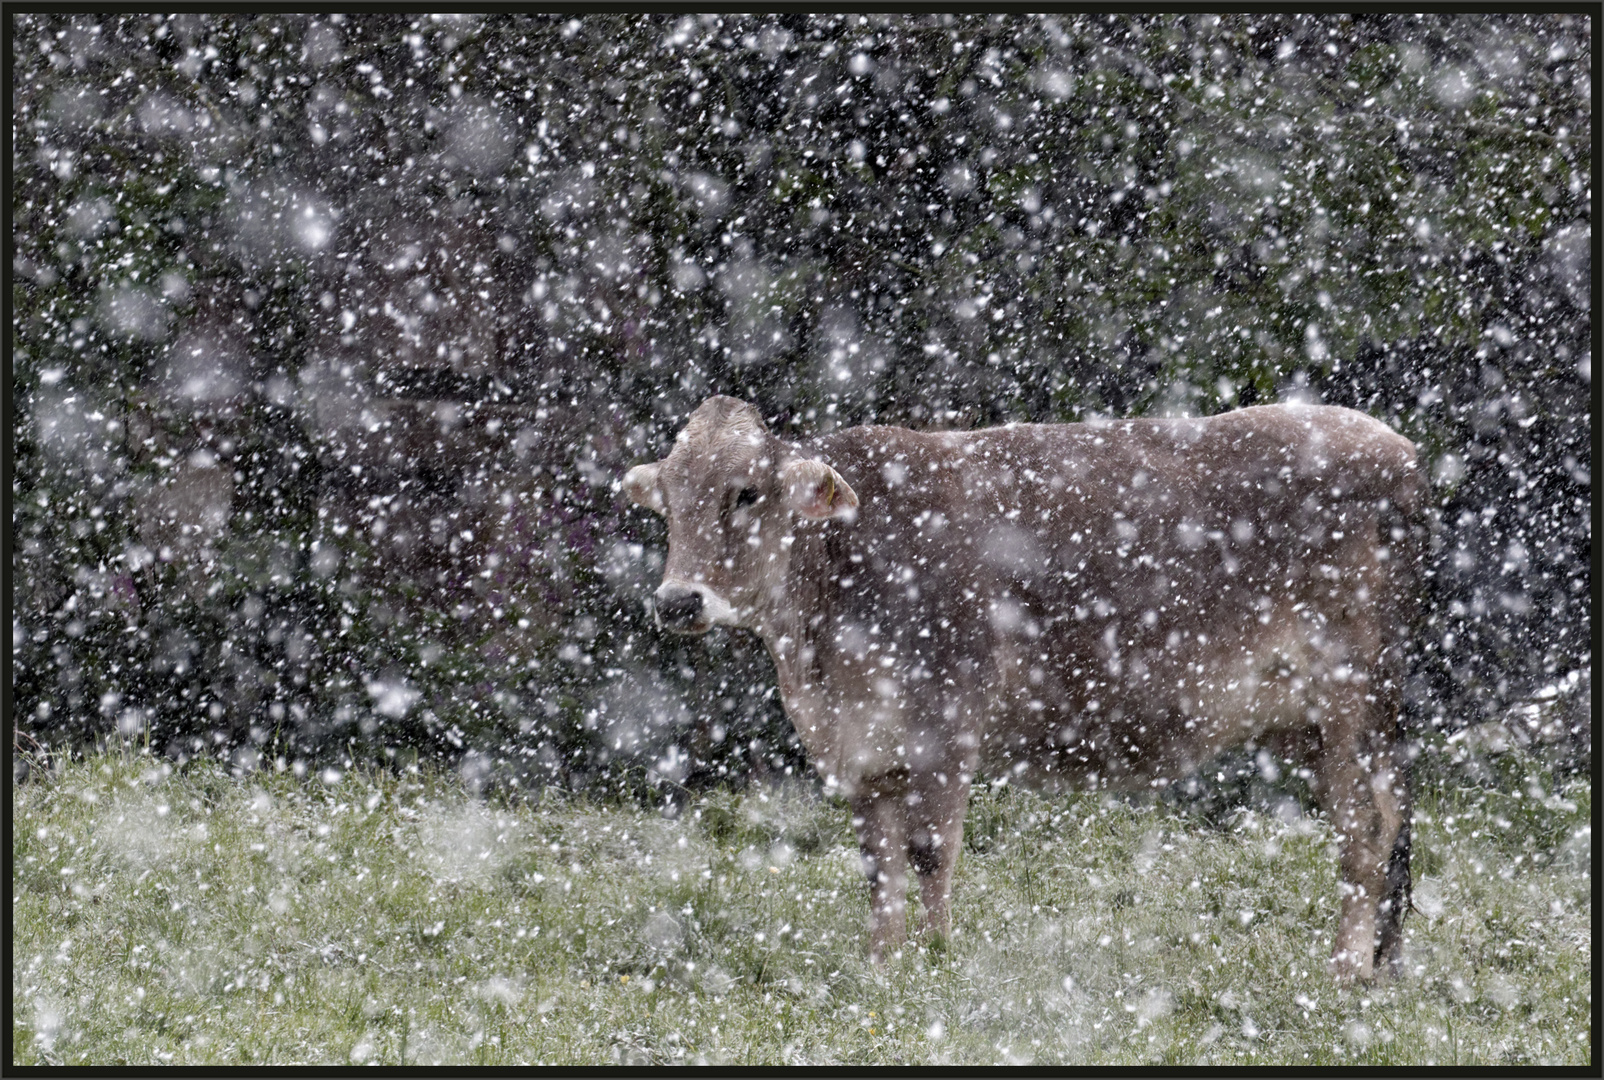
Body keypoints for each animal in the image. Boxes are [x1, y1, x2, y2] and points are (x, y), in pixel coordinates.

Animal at [619, 393, 1424, 975]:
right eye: (670, 498)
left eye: (746, 493)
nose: (678, 601)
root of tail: (1396, 448)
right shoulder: (864, 750)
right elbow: (878, 866)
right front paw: (881, 965)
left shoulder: (945, 725)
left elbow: (928, 851)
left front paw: (936, 958)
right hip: (1311, 722)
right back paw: (1374, 965)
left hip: (1355, 695)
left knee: (1367, 828)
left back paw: (1344, 970)